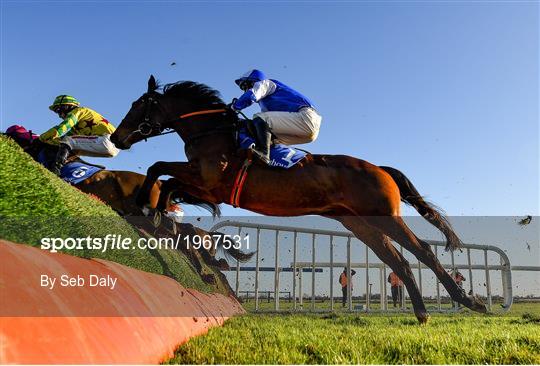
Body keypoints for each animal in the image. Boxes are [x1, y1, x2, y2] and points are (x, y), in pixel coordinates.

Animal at [112, 76, 488, 322]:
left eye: (137, 106)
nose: (117, 138)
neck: (213, 132)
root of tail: (379, 168)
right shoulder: (204, 186)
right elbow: (167, 180)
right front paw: (157, 214)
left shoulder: (209, 183)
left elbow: (161, 170)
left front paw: (145, 208)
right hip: (362, 225)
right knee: (399, 261)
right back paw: (423, 312)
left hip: (382, 217)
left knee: (422, 251)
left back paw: (469, 303)